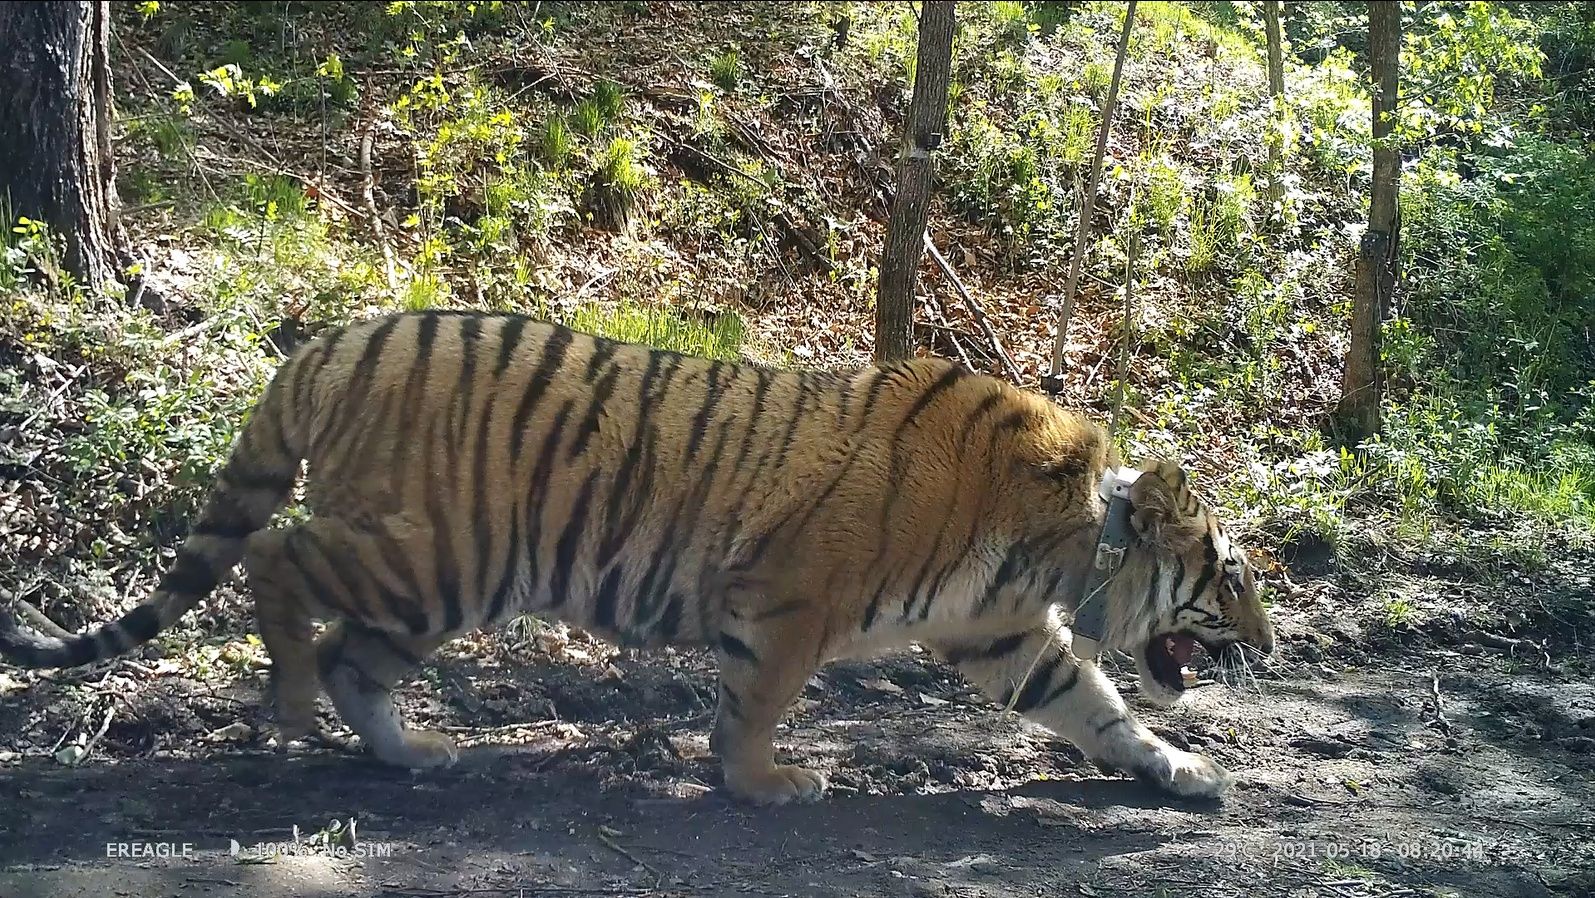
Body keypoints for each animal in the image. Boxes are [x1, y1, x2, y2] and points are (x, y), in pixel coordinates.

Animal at [0, 311, 1269, 807]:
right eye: (1234, 576)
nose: (1264, 644)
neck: (1063, 545)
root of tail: (334, 339)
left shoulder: (1000, 634)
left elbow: (1097, 705)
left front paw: (1178, 768)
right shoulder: (791, 599)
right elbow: (758, 701)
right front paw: (763, 783)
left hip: (438, 584)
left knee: (357, 651)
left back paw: (410, 750)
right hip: (425, 555)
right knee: (275, 553)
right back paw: (294, 702)